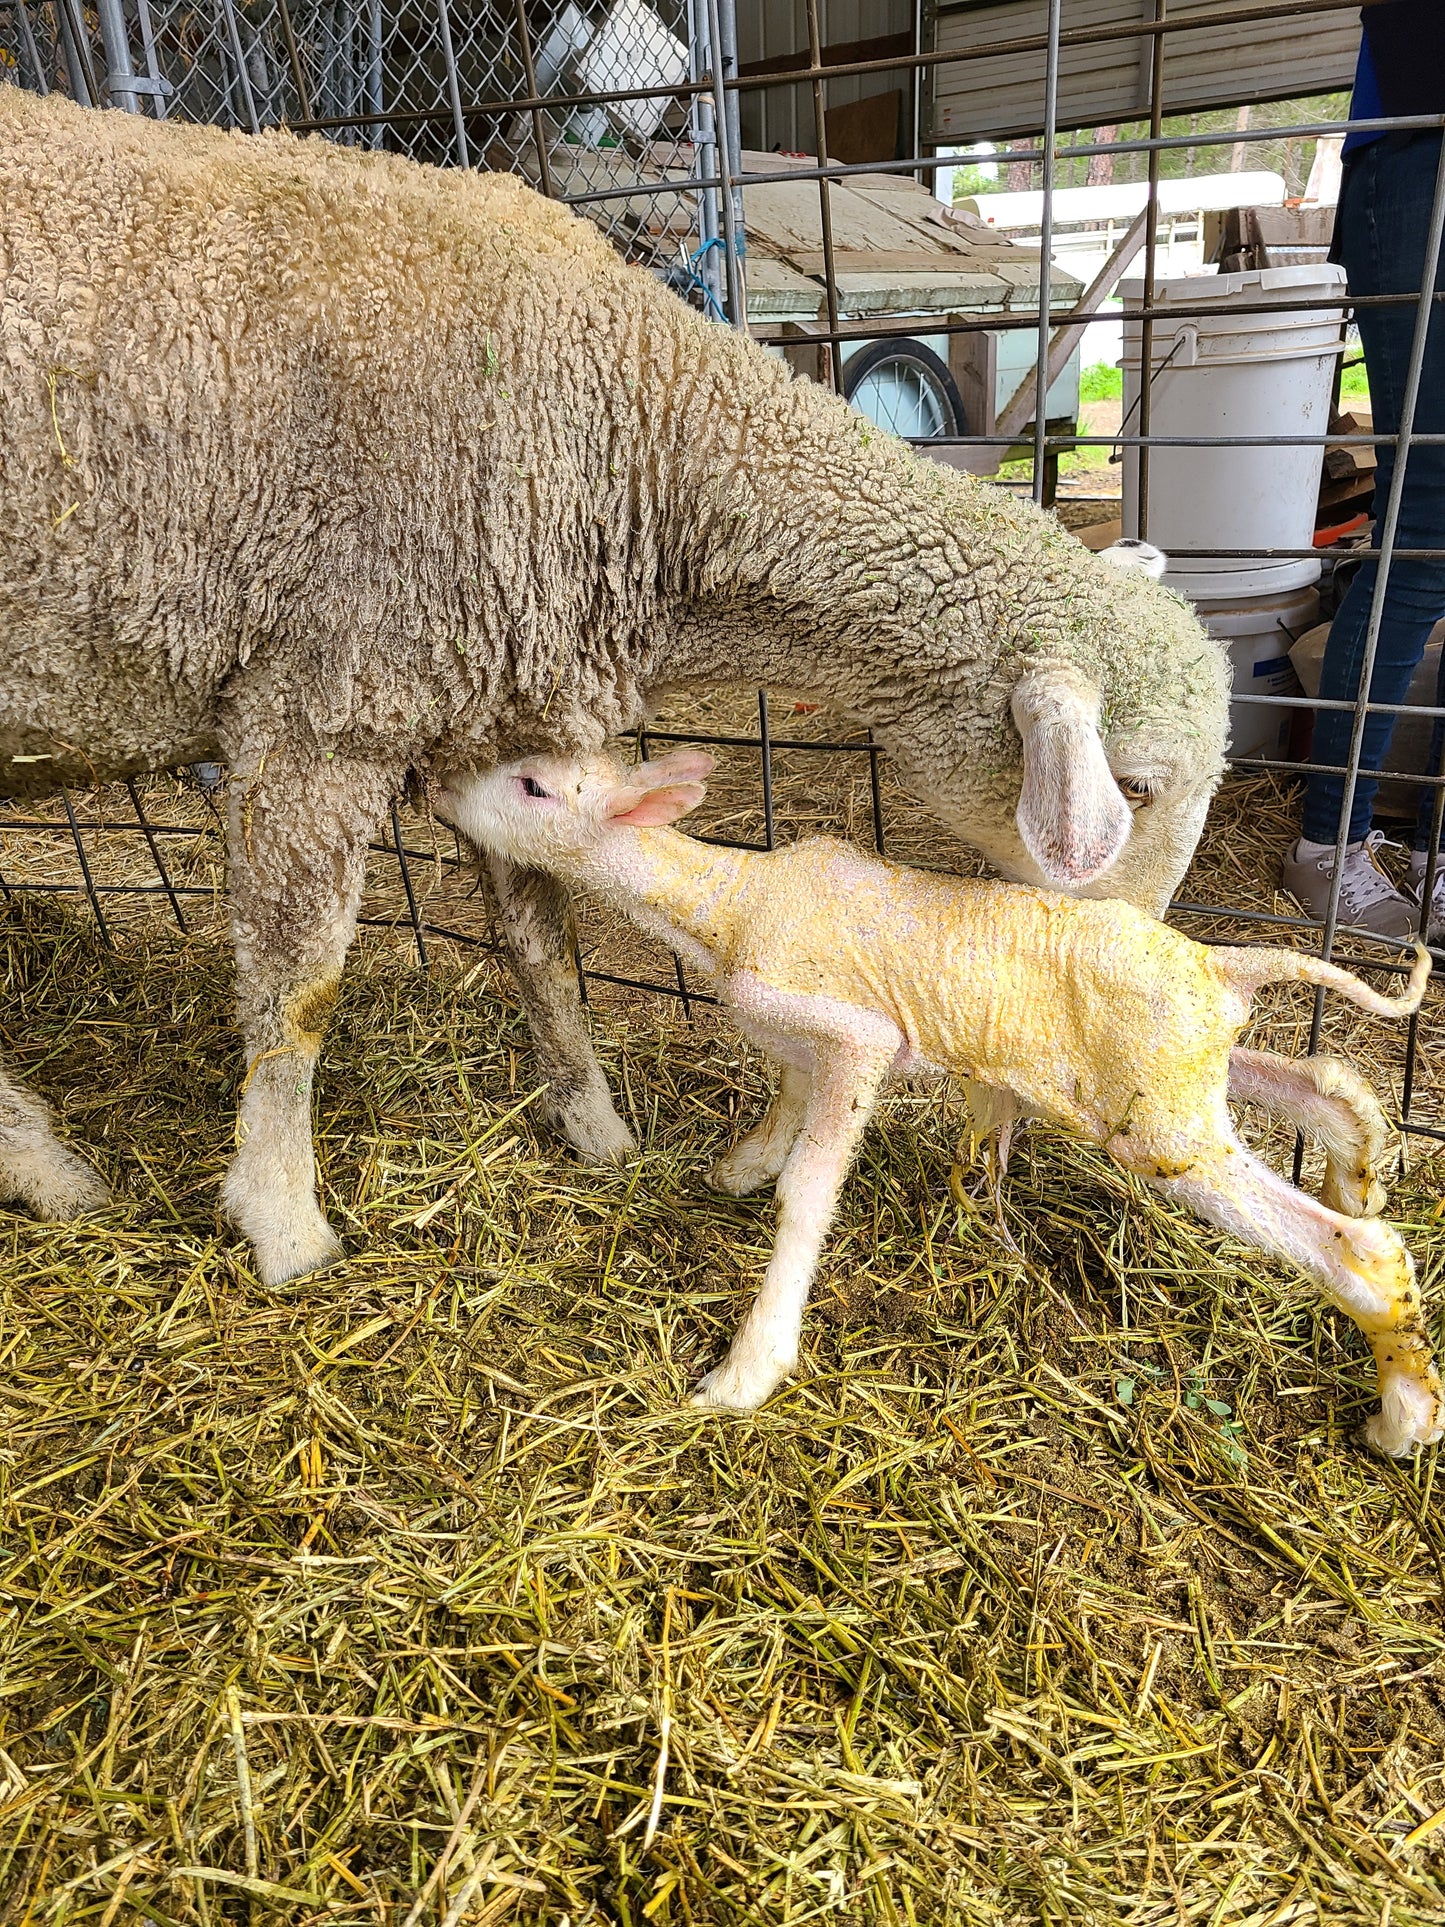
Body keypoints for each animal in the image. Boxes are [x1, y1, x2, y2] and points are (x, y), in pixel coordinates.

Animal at [0, 90, 1228, 1285]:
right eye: (1134, 787)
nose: (1127, 967)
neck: (639, 435)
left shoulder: (489, 707)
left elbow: (545, 946)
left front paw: (595, 1130)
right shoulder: (320, 706)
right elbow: (297, 989)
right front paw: (281, 1223)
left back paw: (47, 1166)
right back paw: (58, 1168)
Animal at [435, 751, 1441, 1460]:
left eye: (530, 783)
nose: (436, 789)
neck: (729, 899)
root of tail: (1222, 963)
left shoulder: (856, 1034)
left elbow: (809, 1190)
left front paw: (747, 1368)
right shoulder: (794, 1043)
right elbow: (780, 1108)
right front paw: (736, 1169)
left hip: (1159, 1121)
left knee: (1364, 1252)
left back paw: (1401, 1414)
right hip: (1184, 1073)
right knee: (1316, 1078)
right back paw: (1361, 1165)